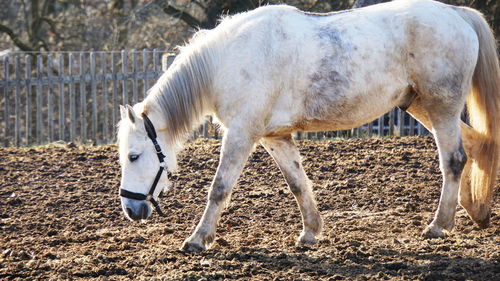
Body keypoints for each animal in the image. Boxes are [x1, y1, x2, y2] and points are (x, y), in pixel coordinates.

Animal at [116, 0, 496, 252]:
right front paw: (311, 232)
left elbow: (220, 187)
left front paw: (197, 239)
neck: (227, 60)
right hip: (420, 106)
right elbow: (298, 184)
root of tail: (456, 13)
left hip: (441, 107)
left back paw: (439, 225)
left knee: (454, 160)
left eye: (134, 156)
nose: (131, 210)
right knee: (473, 146)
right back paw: (474, 211)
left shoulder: (241, 134)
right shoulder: (274, 137)